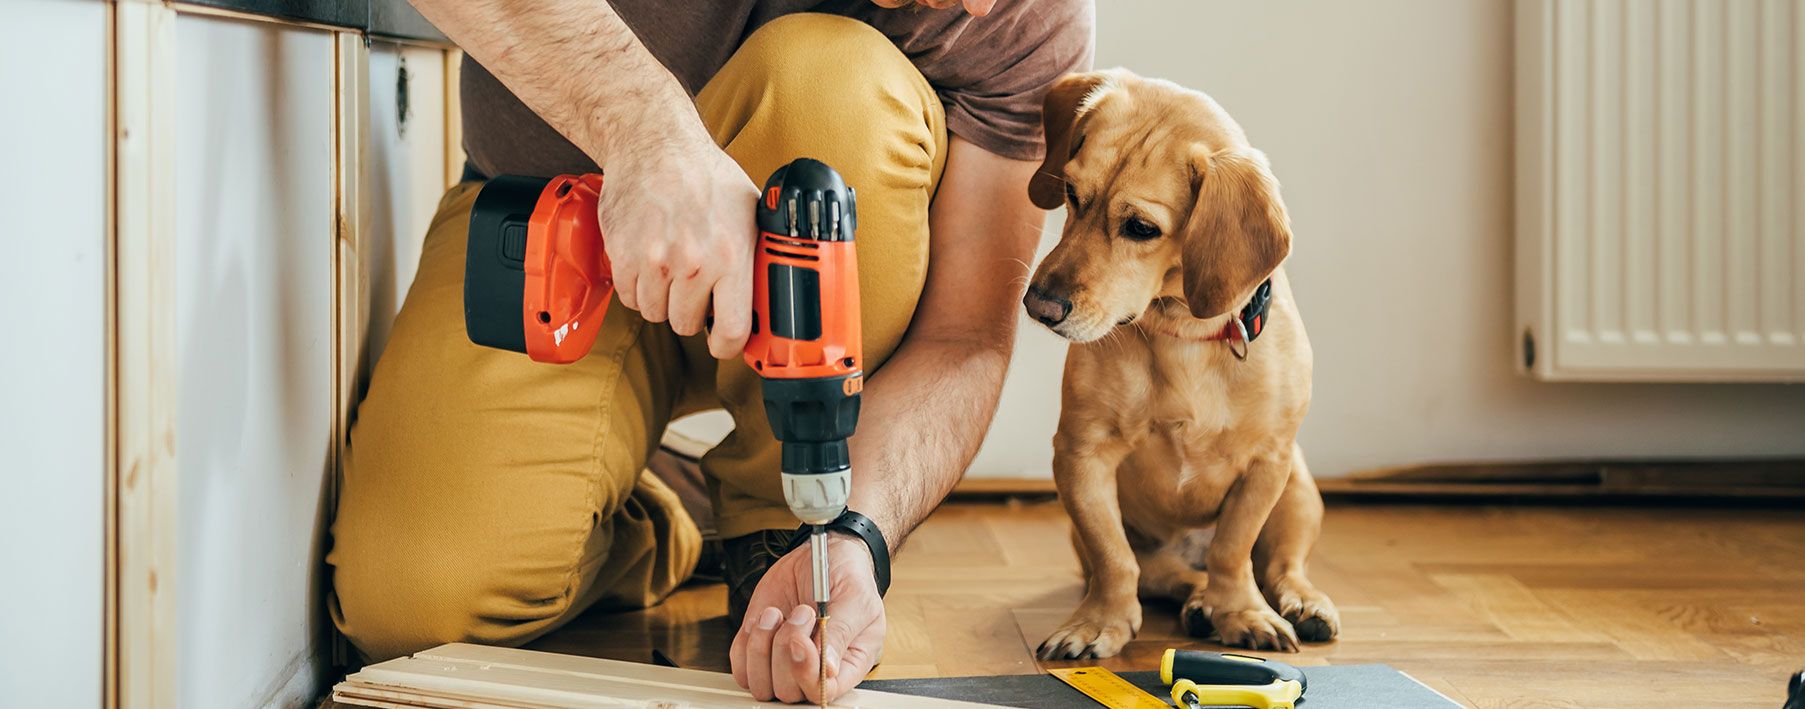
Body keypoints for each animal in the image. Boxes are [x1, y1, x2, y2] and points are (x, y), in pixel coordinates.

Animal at [1025, 69, 1335, 653]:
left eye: (1141, 228)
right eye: (1072, 194)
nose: (1039, 306)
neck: (1182, 336)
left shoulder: (1267, 464)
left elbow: (1233, 551)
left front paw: (1242, 612)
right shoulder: (1082, 455)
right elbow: (1114, 558)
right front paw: (1099, 621)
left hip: (1299, 492)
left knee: (1280, 565)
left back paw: (1300, 602)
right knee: (1173, 575)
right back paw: (1197, 605)